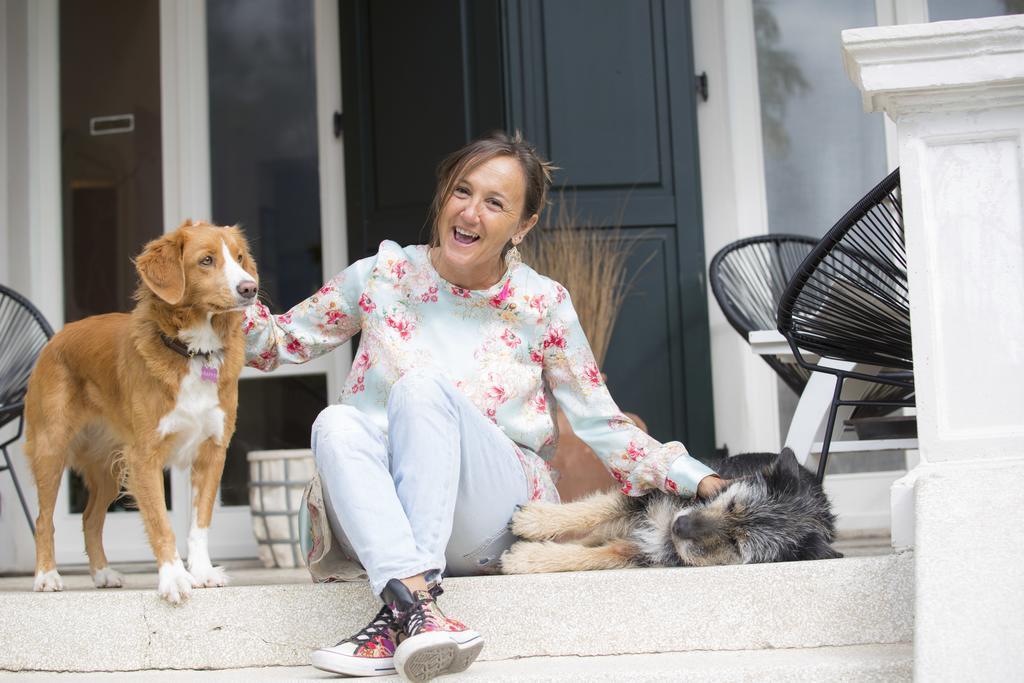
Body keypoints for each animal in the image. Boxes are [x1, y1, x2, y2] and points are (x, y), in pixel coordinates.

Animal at [23, 219, 258, 602]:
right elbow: (162, 523)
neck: (193, 352)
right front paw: (174, 578)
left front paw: (202, 572)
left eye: (239, 258)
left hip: (109, 465)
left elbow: (200, 521)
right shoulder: (144, 456)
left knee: (90, 518)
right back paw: (46, 576)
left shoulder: (212, 451)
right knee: (44, 519)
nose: (250, 288)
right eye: (206, 260)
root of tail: (58, 337)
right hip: (51, 448)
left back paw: (102, 573)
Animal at [499, 448, 843, 573]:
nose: (678, 527)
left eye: (737, 544)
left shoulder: (649, 550)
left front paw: (529, 558)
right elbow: (594, 508)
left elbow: (598, 555)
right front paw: (536, 520)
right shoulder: (645, 498)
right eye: (732, 504)